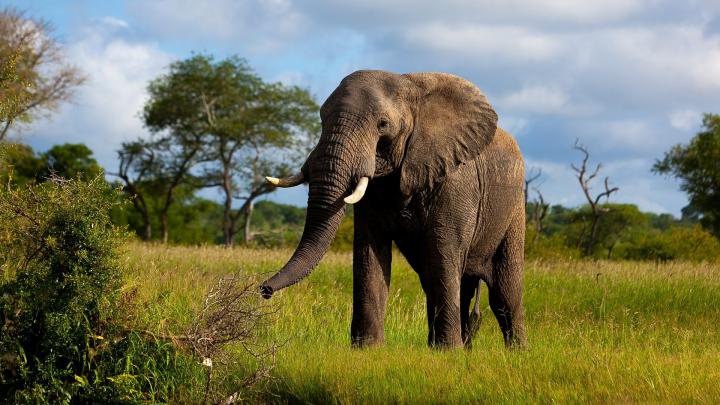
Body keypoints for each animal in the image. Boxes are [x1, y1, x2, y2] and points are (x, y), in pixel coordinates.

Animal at [261, 70, 527, 349]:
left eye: (383, 125)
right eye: (322, 119)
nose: (264, 290)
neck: (409, 84)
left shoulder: (455, 181)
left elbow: (442, 252)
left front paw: (448, 352)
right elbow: (369, 252)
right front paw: (368, 349)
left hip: (514, 208)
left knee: (504, 292)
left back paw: (515, 352)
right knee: (449, 283)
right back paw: (455, 348)